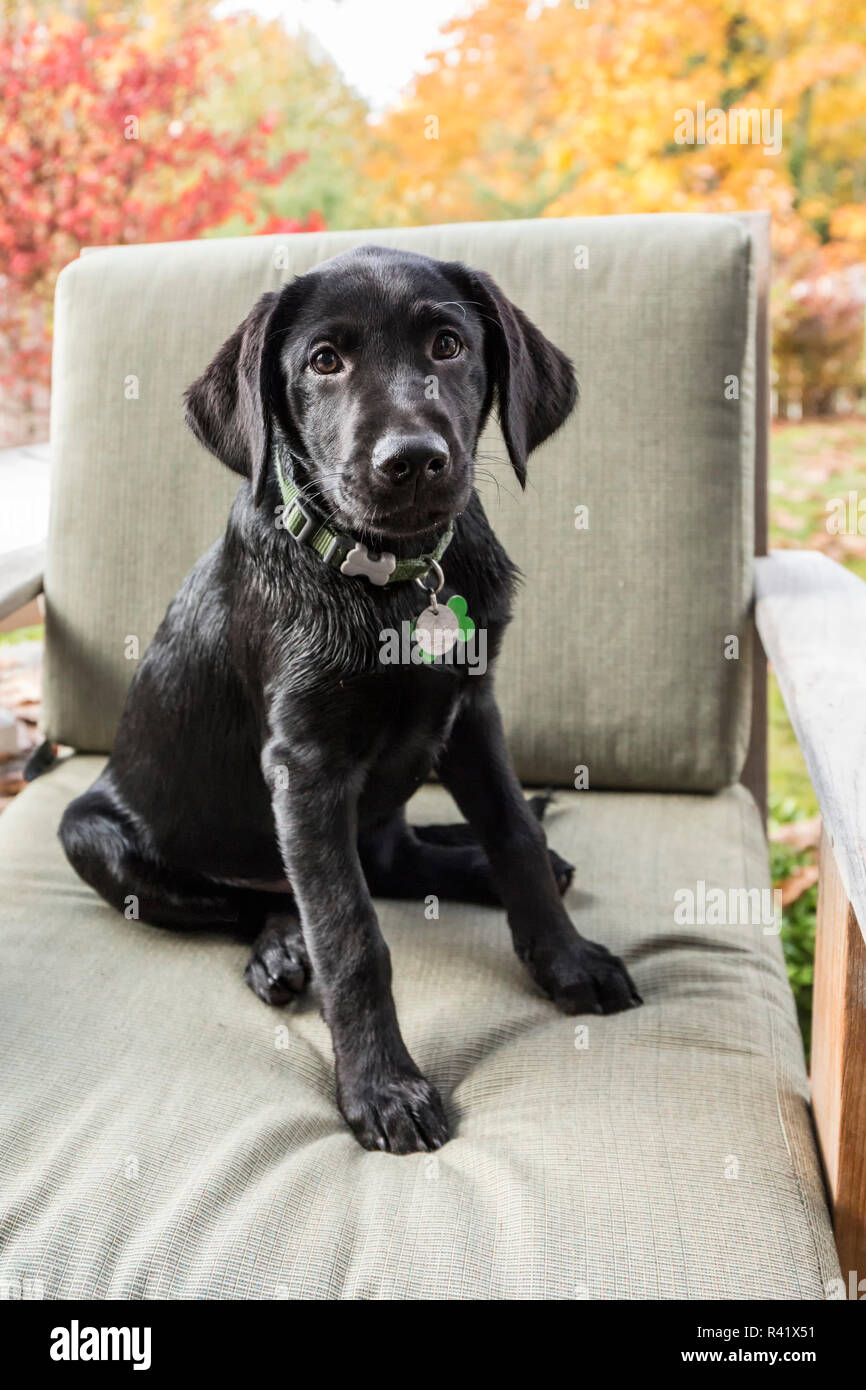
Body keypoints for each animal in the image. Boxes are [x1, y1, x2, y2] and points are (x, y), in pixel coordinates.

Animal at [61, 247, 639, 1150]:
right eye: (324, 361)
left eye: (448, 345)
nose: (412, 459)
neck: (393, 578)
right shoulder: (306, 767)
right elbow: (349, 932)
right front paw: (383, 1087)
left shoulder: (472, 714)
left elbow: (512, 832)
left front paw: (567, 959)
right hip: (90, 834)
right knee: (257, 901)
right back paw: (278, 950)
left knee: (396, 856)